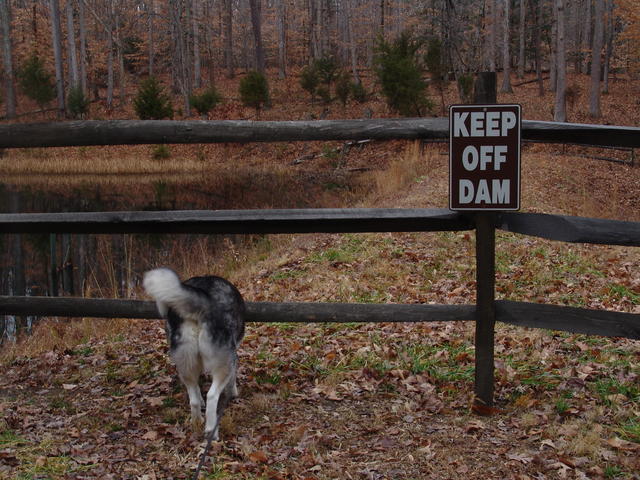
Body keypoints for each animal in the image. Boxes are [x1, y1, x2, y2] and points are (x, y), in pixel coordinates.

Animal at [142, 268, 245, 440]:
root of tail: (205, 303)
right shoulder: (233, 358)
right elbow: (232, 381)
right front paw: (233, 394)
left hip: (184, 363)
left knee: (194, 399)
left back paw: (196, 421)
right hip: (223, 363)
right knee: (212, 396)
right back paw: (211, 431)